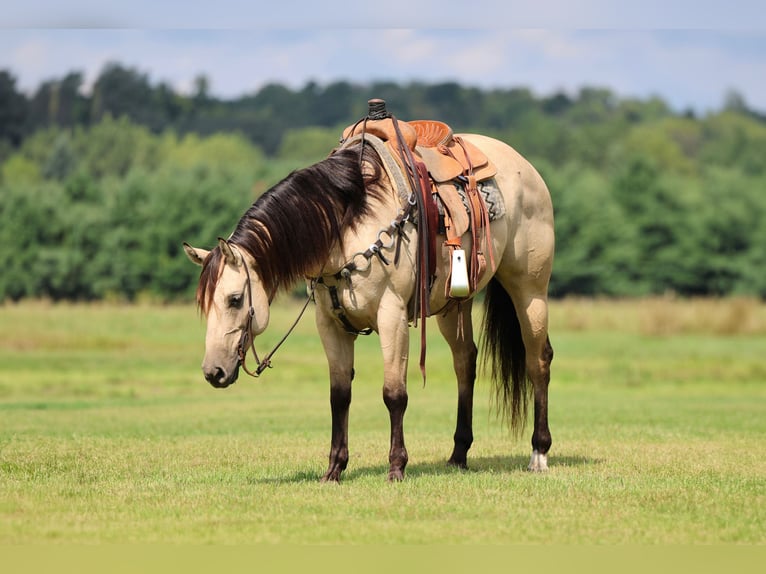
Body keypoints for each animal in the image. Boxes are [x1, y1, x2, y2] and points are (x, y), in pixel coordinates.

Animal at [183, 113, 555, 482]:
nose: (213, 371)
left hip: (530, 291)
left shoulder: (392, 317)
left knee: (538, 362)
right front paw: (334, 469)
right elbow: (339, 395)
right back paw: (458, 454)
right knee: (465, 362)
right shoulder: (330, 324)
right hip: (454, 306)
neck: (346, 225)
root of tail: (525, 168)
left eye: (234, 299)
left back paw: (538, 453)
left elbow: (394, 393)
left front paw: (396, 467)